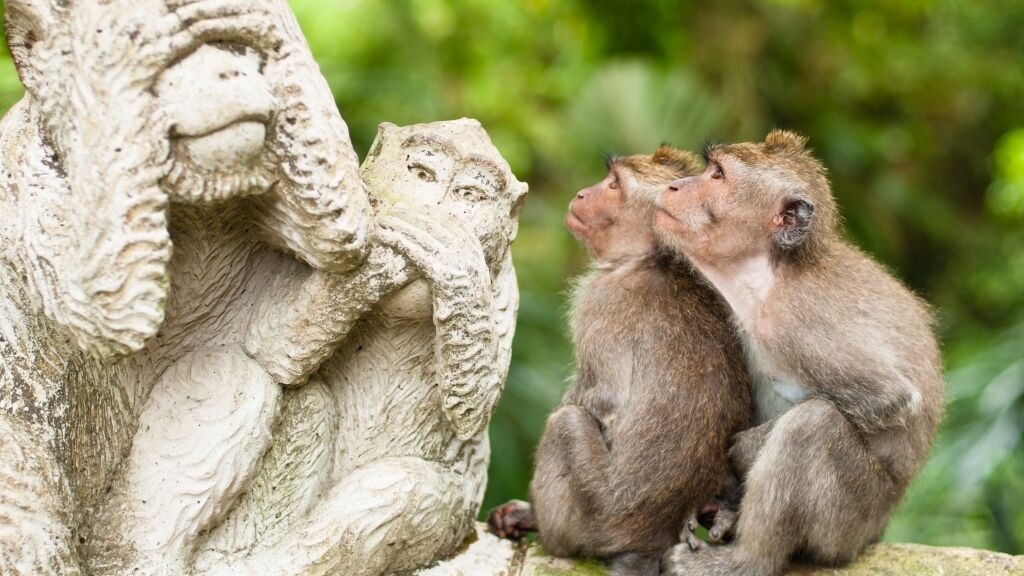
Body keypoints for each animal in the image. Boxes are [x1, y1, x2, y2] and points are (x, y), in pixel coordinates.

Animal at [487, 146, 753, 573]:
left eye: (614, 184)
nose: (583, 193)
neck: (650, 258)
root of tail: (650, 542)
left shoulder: (600, 299)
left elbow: (603, 398)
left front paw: (526, 511)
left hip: (594, 516)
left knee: (566, 423)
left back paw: (543, 526)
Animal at [655, 130, 942, 573]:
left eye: (717, 175)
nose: (674, 187)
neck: (769, 274)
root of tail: (876, 531)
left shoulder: (796, 322)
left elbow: (890, 398)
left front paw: (741, 454)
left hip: (850, 523)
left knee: (812, 426)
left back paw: (747, 560)